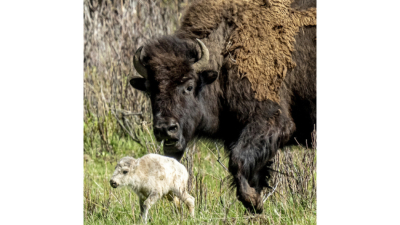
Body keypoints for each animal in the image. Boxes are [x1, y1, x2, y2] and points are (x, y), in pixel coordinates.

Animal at [128, 0, 316, 213]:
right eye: (150, 90)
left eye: (189, 86)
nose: (165, 129)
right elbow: (251, 172)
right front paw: (255, 205)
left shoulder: (272, 122)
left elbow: (237, 162)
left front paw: (253, 201)